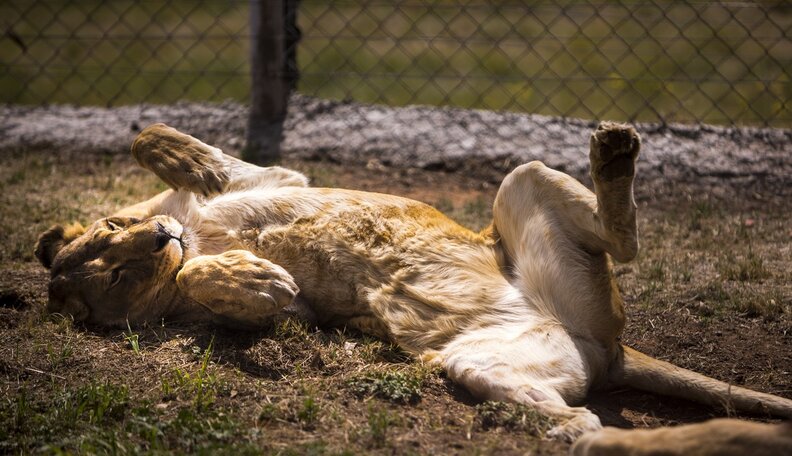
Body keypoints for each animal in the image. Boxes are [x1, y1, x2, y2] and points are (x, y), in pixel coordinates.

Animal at [35, 122, 792, 442]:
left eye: (111, 231)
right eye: (119, 272)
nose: (161, 239)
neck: (192, 229)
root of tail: (607, 344)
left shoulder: (276, 176)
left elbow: (151, 139)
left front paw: (177, 161)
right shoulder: (293, 316)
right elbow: (215, 282)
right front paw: (249, 275)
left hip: (525, 182)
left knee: (626, 237)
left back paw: (613, 150)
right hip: (484, 362)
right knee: (579, 416)